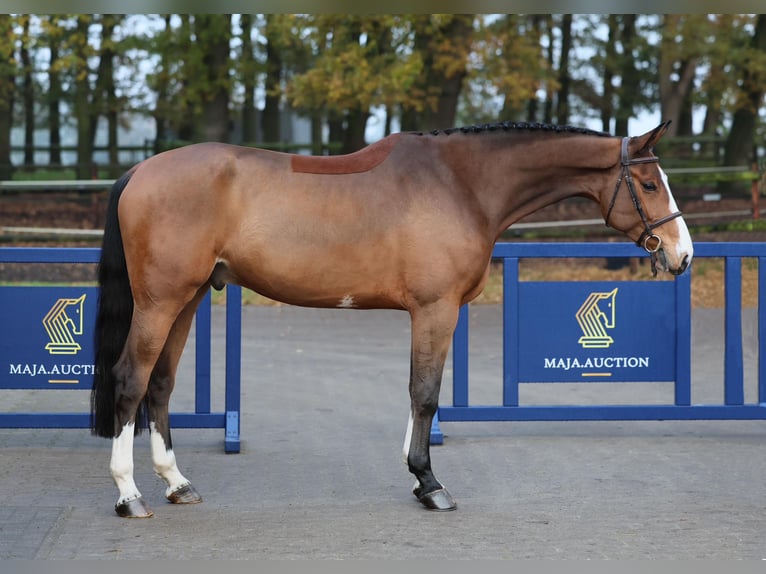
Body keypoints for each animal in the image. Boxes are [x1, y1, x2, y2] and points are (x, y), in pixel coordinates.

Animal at [90, 120, 696, 516]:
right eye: (648, 184)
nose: (682, 254)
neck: (461, 184)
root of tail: (140, 170)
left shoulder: (427, 314)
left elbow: (416, 392)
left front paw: (416, 476)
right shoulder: (435, 309)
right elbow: (425, 394)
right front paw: (430, 484)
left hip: (188, 298)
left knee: (160, 385)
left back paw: (176, 484)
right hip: (161, 302)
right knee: (130, 381)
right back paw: (129, 495)